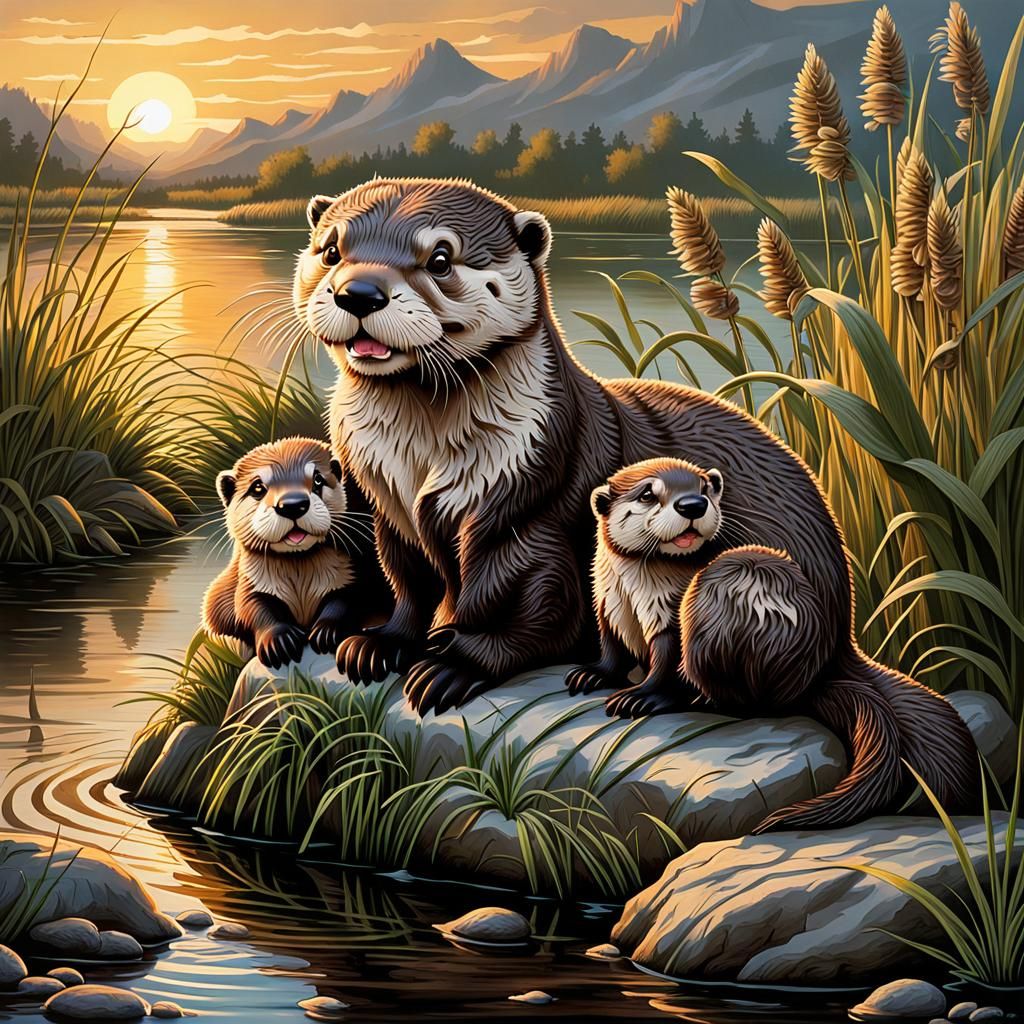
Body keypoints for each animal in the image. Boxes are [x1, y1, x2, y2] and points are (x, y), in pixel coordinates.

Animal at [203, 437, 365, 669]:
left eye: (318, 479)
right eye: (257, 487)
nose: (293, 504)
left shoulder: (346, 574)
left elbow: (346, 600)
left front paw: (327, 632)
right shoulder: (250, 583)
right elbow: (253, 608)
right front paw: (280, 641)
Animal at [575, 458, 978, 830]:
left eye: (703, 488)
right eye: (647, 493)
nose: (692, 505)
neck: (635, 593)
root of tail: (823, 665)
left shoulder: (670, 616)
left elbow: (667, 664)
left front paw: (643, 697)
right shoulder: (607, 602)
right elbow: (610, 647)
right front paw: (592, 674)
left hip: (731, 593)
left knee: (754, 700)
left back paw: (703, 698)